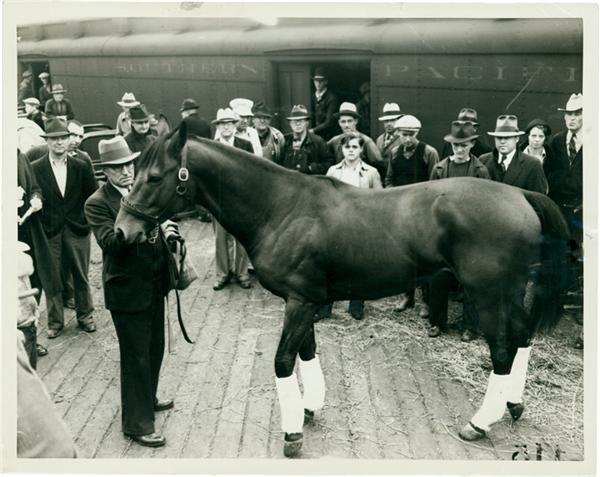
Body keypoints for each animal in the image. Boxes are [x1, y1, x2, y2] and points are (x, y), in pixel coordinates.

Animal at [115, 123, 568, 458]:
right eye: (136, 175)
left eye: (153, 177)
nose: (123, 231)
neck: (281, 207)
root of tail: (522, 194)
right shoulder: (304, 300)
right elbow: (307, 353)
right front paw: (309, 408)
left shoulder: (299, 303)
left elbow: (283, 361)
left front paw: (292, 435)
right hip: (510, 292)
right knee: (523, 338)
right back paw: (513, 405)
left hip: (489, 295)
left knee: (503, 352)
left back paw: (479, 422)